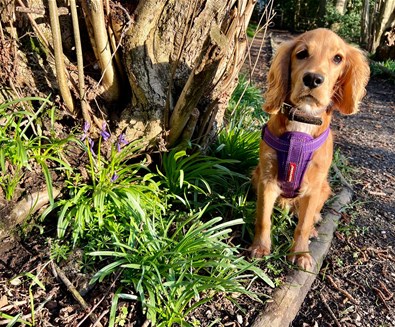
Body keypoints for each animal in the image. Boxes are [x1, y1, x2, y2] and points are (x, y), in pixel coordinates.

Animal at [251, 28, 372, 270]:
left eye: (338, 58)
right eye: (301, 54)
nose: (313, 79)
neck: (303, 121)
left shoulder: (314, 187)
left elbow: (304, 224)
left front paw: (300, 253)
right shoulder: (266, 179)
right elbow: (263, 218)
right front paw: (260, 247)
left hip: (325, 189)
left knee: (311, 215)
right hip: (255, 175)